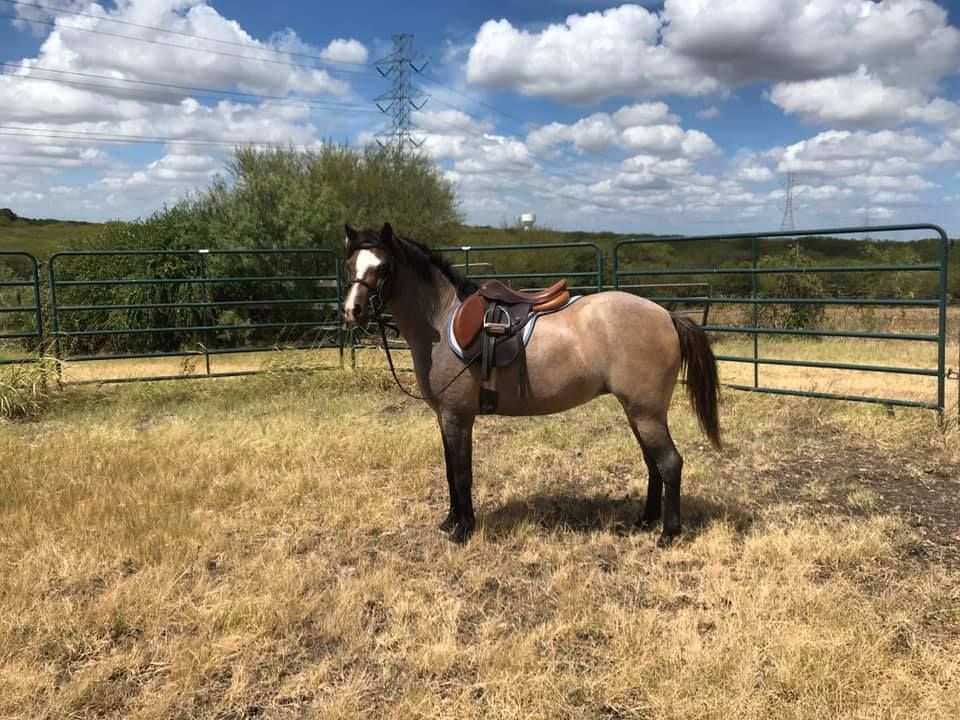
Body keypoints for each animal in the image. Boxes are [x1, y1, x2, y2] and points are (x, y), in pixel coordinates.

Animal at [342, 223, 721, 546]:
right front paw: (450, 522)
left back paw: (668, 534)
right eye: (349, 266)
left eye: (384, 268)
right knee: (652, 462)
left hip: (646, 412)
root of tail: (666, 315)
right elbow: (450, 470)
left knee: (669, 463)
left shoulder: (457, 416)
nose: (351, 311)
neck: (442, 317)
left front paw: (463, 530)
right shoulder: (445, 417)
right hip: (638, 411)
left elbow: (461, 473)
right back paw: (645, 521)